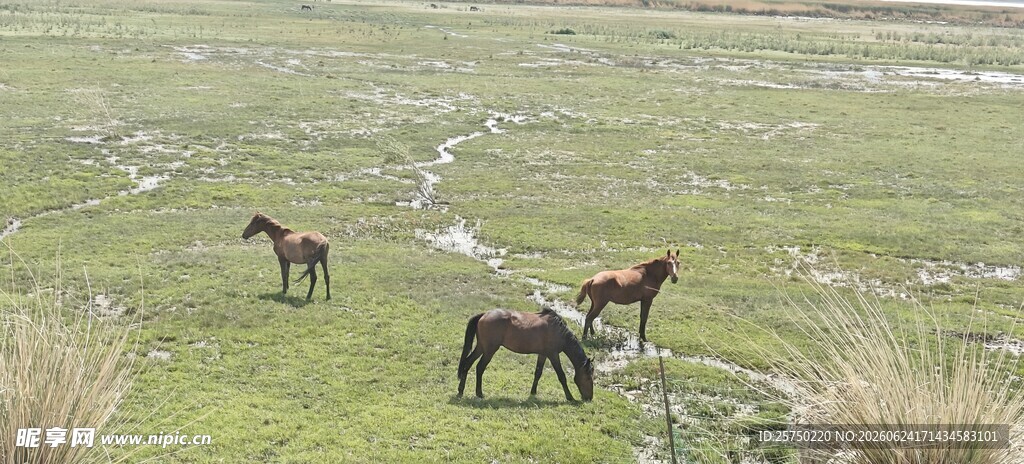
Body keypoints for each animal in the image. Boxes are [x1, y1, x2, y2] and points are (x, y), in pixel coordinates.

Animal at [457, 308, 594, 401]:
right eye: (588, 377)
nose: (589, 398)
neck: (559, 332)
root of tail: (484, 314)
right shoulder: (553, 355)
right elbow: (561, 376)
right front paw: (570, 397)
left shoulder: (543, 354)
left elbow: (538, 373)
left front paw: (533, 392)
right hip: (489, 350)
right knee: (479, 367)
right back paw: (479, 393)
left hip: (481, 347)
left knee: (467, 363)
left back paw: (461, 391)